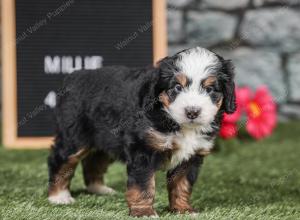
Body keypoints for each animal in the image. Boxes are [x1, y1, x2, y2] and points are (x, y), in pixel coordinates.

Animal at [47, 46, 237, 217]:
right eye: (177, 87)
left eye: (210, 89)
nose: (192, 112)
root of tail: (74, 76)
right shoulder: (143, 148)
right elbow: (143, 185)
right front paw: (143, 212)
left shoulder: (191, 156)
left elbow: (182, 184)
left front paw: (182, 209)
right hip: (74, 137)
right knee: (60, 161)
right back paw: (59, 197)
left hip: (106, 138)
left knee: (94, 161)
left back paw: (99, 189)